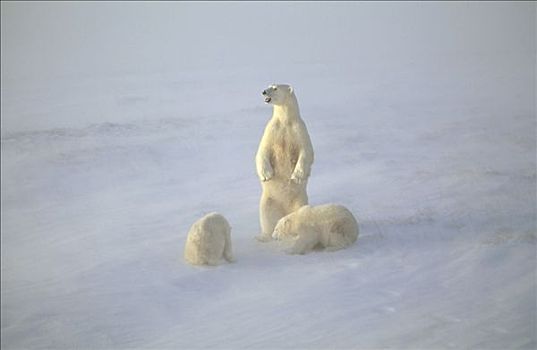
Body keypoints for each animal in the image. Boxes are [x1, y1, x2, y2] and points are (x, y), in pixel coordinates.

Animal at [255, 85, 314, 242]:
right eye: (269, 84)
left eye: (275, 88)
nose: (263, 91)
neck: (285, 121)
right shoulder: (271, 129)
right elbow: (262, 151)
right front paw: (267, 175)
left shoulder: (299, 130)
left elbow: (306, 151)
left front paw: (297, 176)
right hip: (268, 202)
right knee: (267, 218)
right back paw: (264, 237)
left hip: (300, 200)